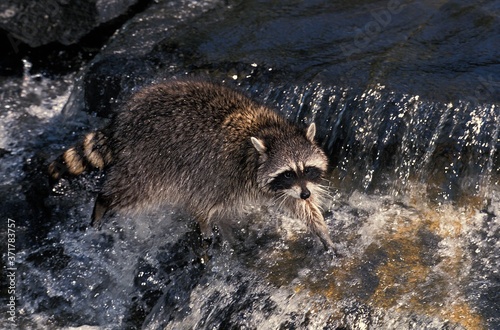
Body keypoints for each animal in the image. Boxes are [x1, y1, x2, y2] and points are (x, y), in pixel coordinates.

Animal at [48, 80, 334, 248]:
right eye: (287, 173)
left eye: (307, 169)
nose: (306, 192)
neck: (270, 133)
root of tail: (119, 122)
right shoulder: (221, 171)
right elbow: (201, 203)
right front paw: (205, 225)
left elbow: (296, 205)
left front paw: (319, 227)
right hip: (147, 159)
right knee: (134, 189)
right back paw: (103, 201)